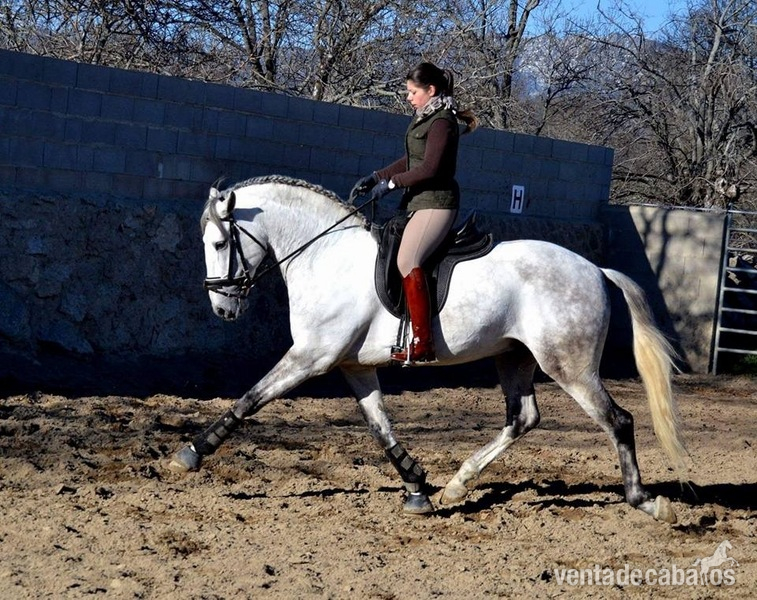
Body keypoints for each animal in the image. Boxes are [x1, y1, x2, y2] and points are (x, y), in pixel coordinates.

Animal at [169, 174, 688, 523]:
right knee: (523, 418)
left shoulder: (311, 358)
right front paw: (416, 487)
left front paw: (191, 453)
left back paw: (645, 501)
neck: (324, 255)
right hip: (514, 357)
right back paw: (456, 487)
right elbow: (379, 426)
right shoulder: (352, 366)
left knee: (618, 420)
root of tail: (596, 270)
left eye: (219, 243)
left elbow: (251, 398)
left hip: (570, 366)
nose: (222, 308)